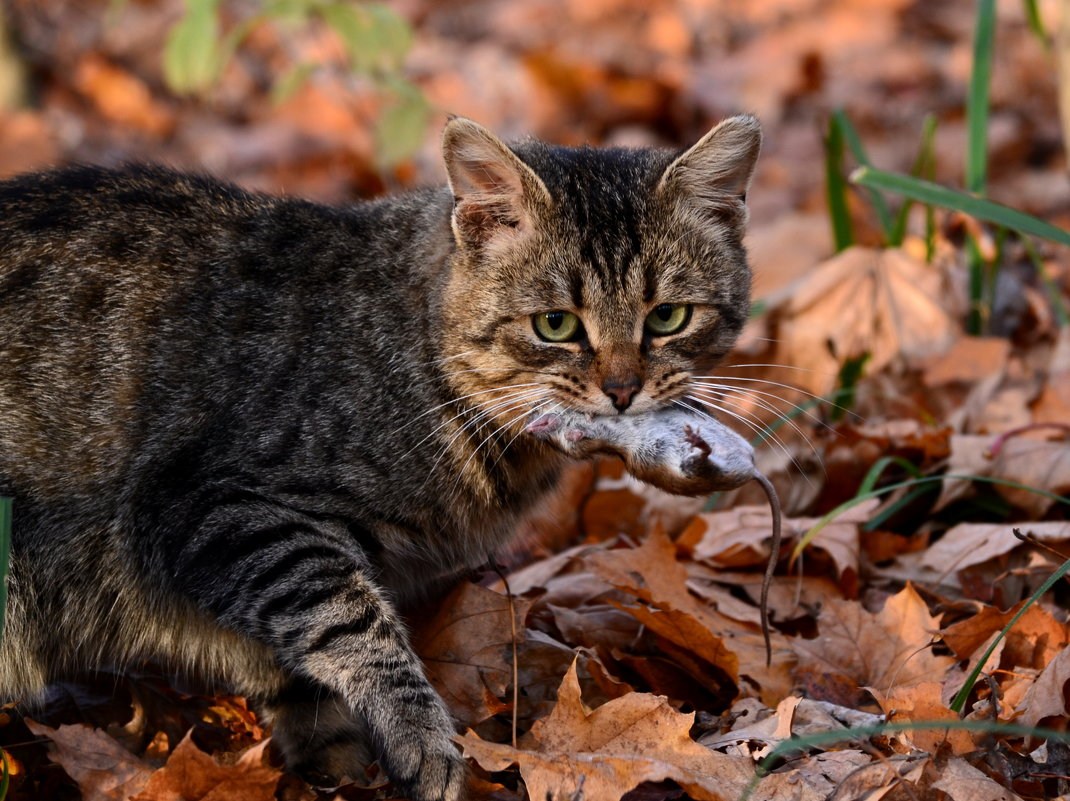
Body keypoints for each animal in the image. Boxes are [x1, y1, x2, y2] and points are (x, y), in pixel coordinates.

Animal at [0, 113, 761, 799]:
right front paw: (423, 743)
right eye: (556, 325)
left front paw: (335, 763)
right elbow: (352, 620)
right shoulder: (212, 506)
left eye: (667, 317)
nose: (623, 390)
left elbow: (298, 675)